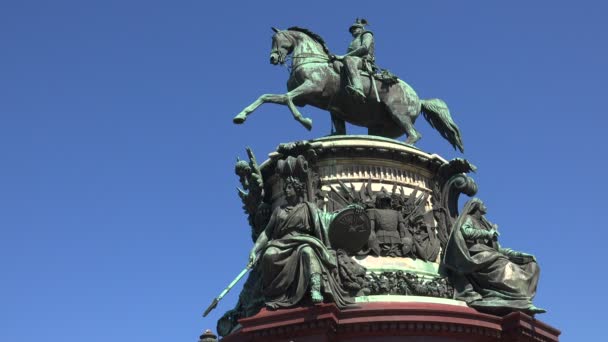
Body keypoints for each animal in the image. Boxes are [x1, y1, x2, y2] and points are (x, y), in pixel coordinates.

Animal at [230, 28, 464, 152]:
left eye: (277, 40)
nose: (272, 58)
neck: (311, 59)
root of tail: (419, 98)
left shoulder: (309, 88)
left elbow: (287, 99)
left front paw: (306, 122)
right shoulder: (305, 99)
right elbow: (267, 97)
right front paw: (241, 115)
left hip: (399, 114)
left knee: (415, 135)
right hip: (379, 127)